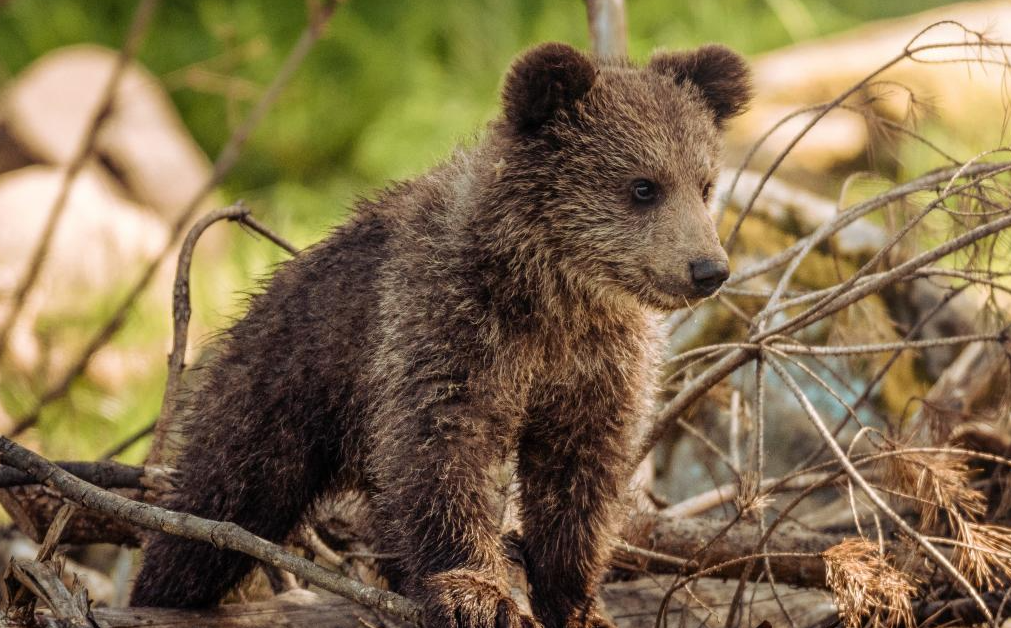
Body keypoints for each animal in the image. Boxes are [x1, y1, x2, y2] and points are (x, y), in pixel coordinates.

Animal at [130, 41, 752, 622]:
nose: (708, 269)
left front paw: (576, 602)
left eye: (704, 183)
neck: (552, 295)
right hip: (280, 391)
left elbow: (579, 474)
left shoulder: (597, 363)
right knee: (217, 504)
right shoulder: (447, 325)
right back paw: (162, 590)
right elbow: (444, 450)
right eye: (643, 186)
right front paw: (475, 592)